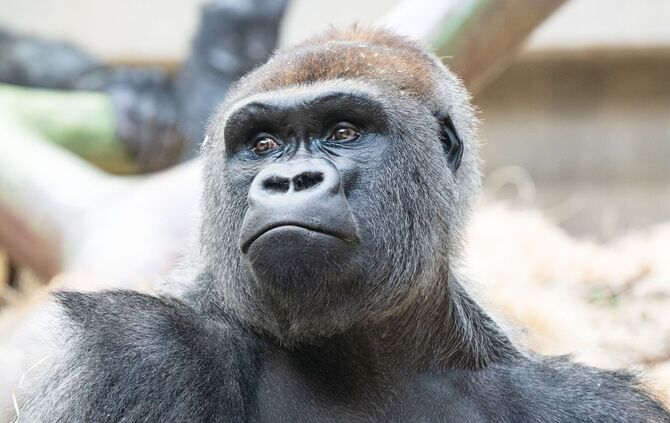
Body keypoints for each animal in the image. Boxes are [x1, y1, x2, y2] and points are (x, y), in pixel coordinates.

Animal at [13, 27, 670, 422]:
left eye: (344, 132)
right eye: (263, 144)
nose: (289, 181)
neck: (370, 354)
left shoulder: (582, 402)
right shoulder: (140, 353)